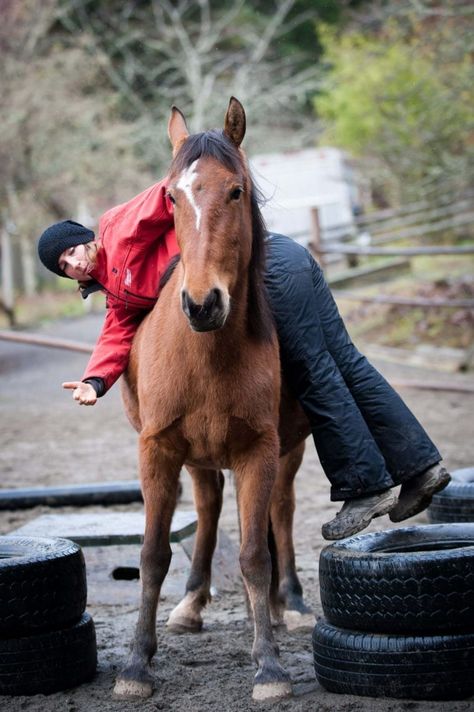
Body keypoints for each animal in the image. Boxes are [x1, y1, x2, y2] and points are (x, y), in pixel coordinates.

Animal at [115, 97, 312, 704]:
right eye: (171, 196)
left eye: (236, 192)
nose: (203, 304)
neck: (207, 353)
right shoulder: (157, 450)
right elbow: (152, 554)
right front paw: (136, 664)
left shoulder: (259, 451)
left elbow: (253, 554)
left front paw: (269, 665)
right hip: (197, 457)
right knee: (206, 510)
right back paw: (192, 603)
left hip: (287, 452)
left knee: (280, 512)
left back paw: (289, 603)